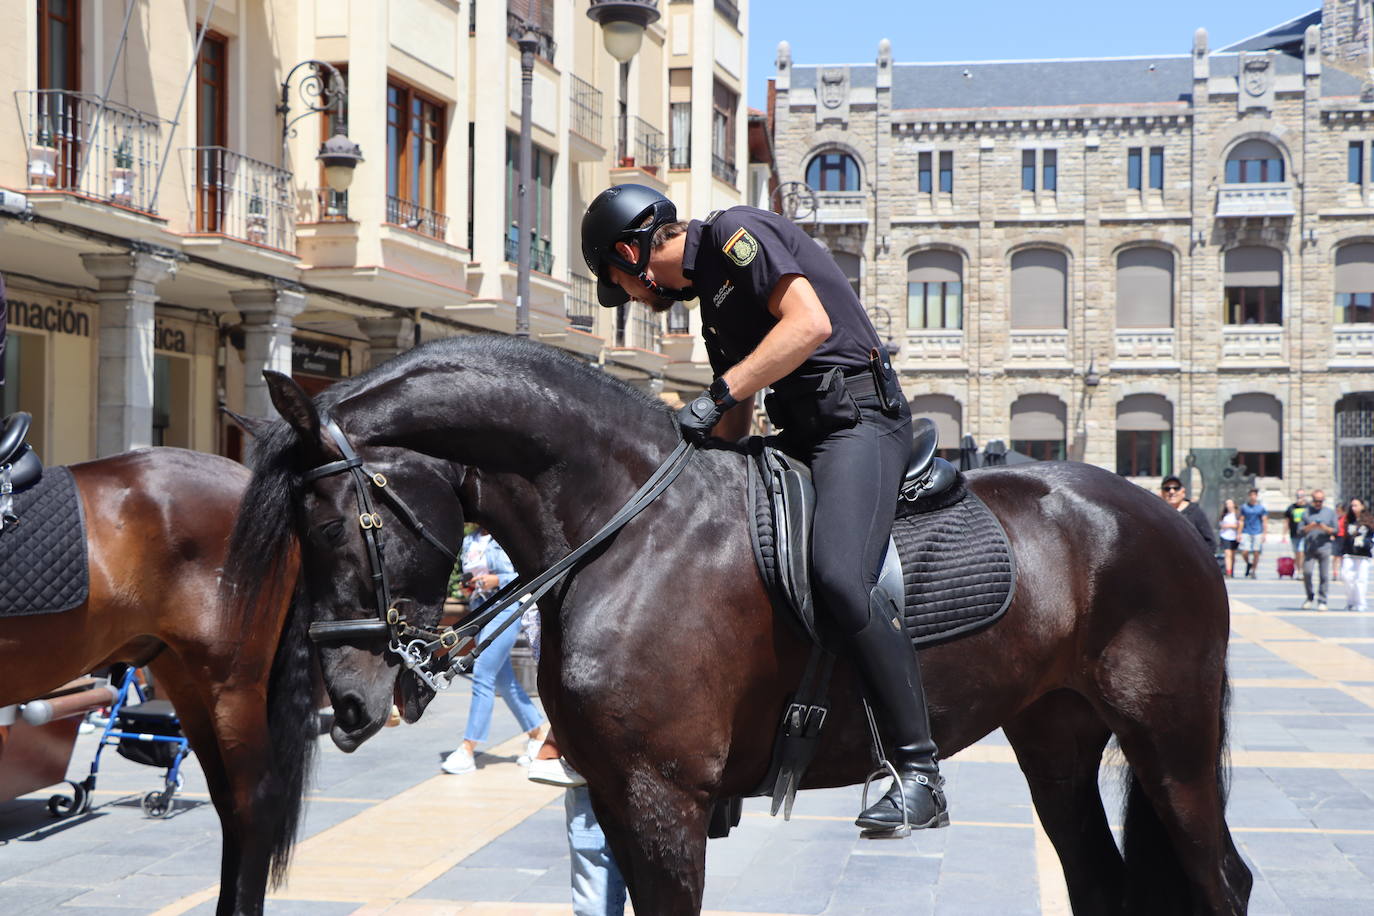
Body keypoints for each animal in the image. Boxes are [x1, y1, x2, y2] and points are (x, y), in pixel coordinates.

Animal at [225, 336, 1258, 916]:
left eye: (331, 525)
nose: (346, 703)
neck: (632, 529)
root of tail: (1168, 516)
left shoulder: (664, 796)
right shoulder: (616, 795)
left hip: (1169, 739)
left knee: (1223, 881)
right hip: (1055, 736)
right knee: (1101, 879)